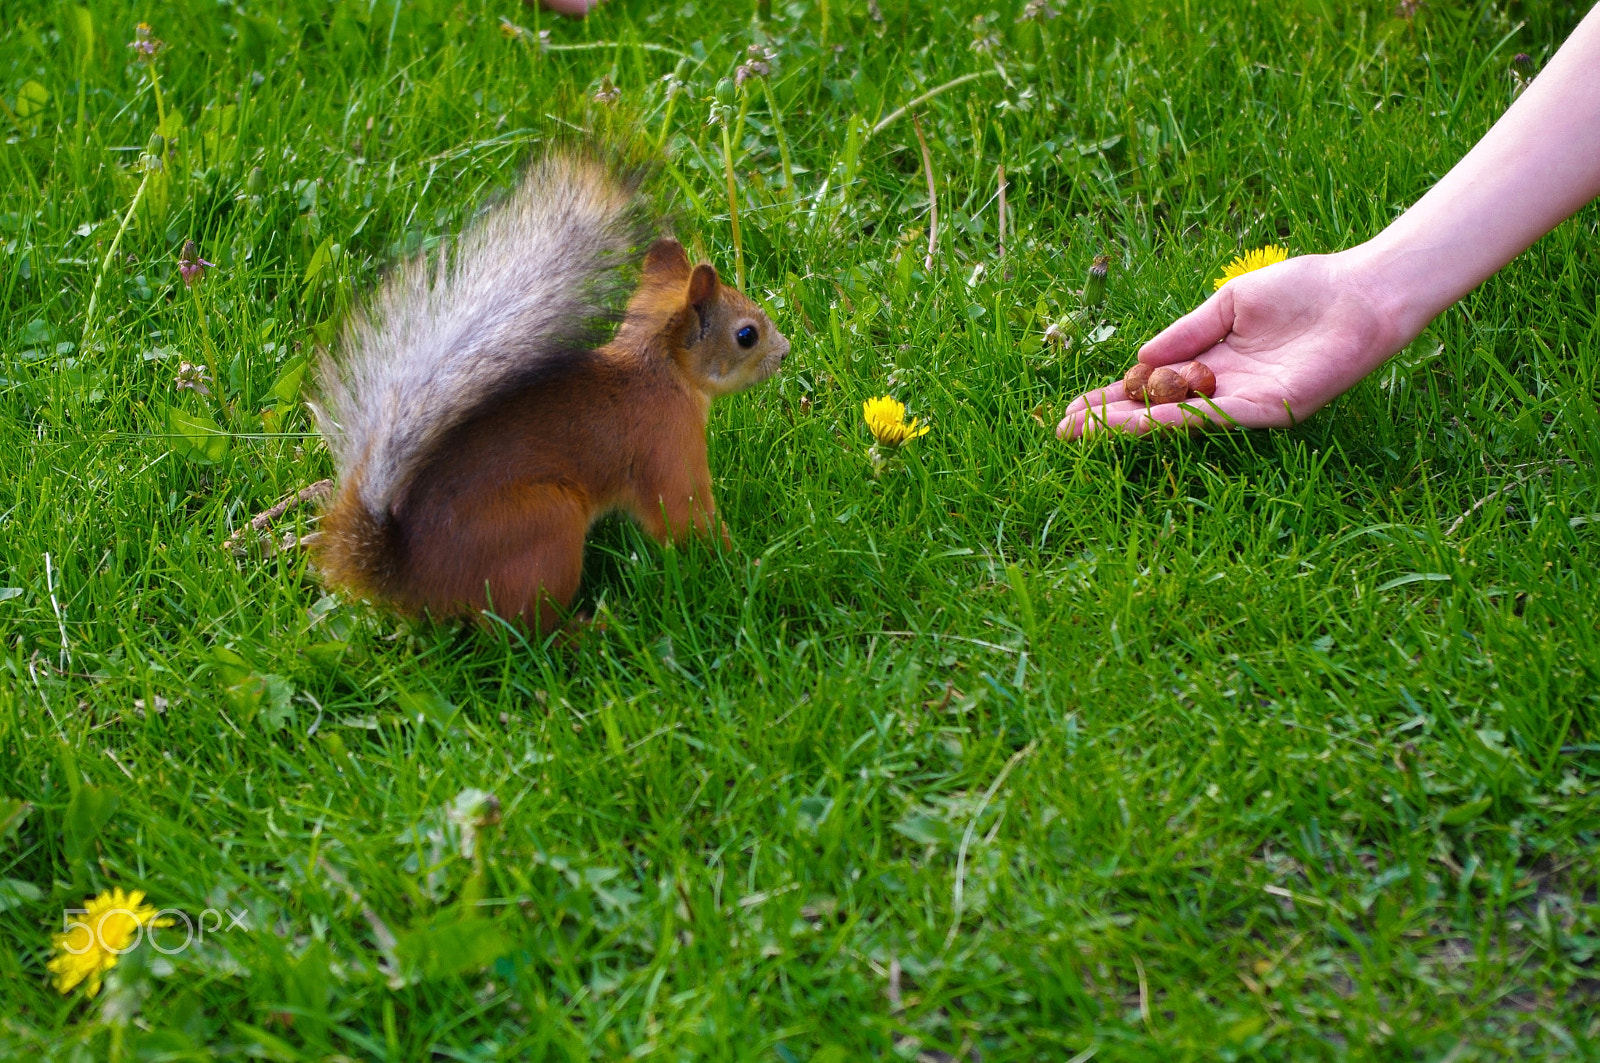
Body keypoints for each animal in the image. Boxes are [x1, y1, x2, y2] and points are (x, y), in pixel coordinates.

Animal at [309, 152, 790, 632]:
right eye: (747, 335)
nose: (785, 352)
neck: (659, 369)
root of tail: (412, 578)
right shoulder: (667, 445)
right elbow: (684, 516)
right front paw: (746, 565)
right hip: (545, 525)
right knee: (528, 629)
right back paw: (589, 630)